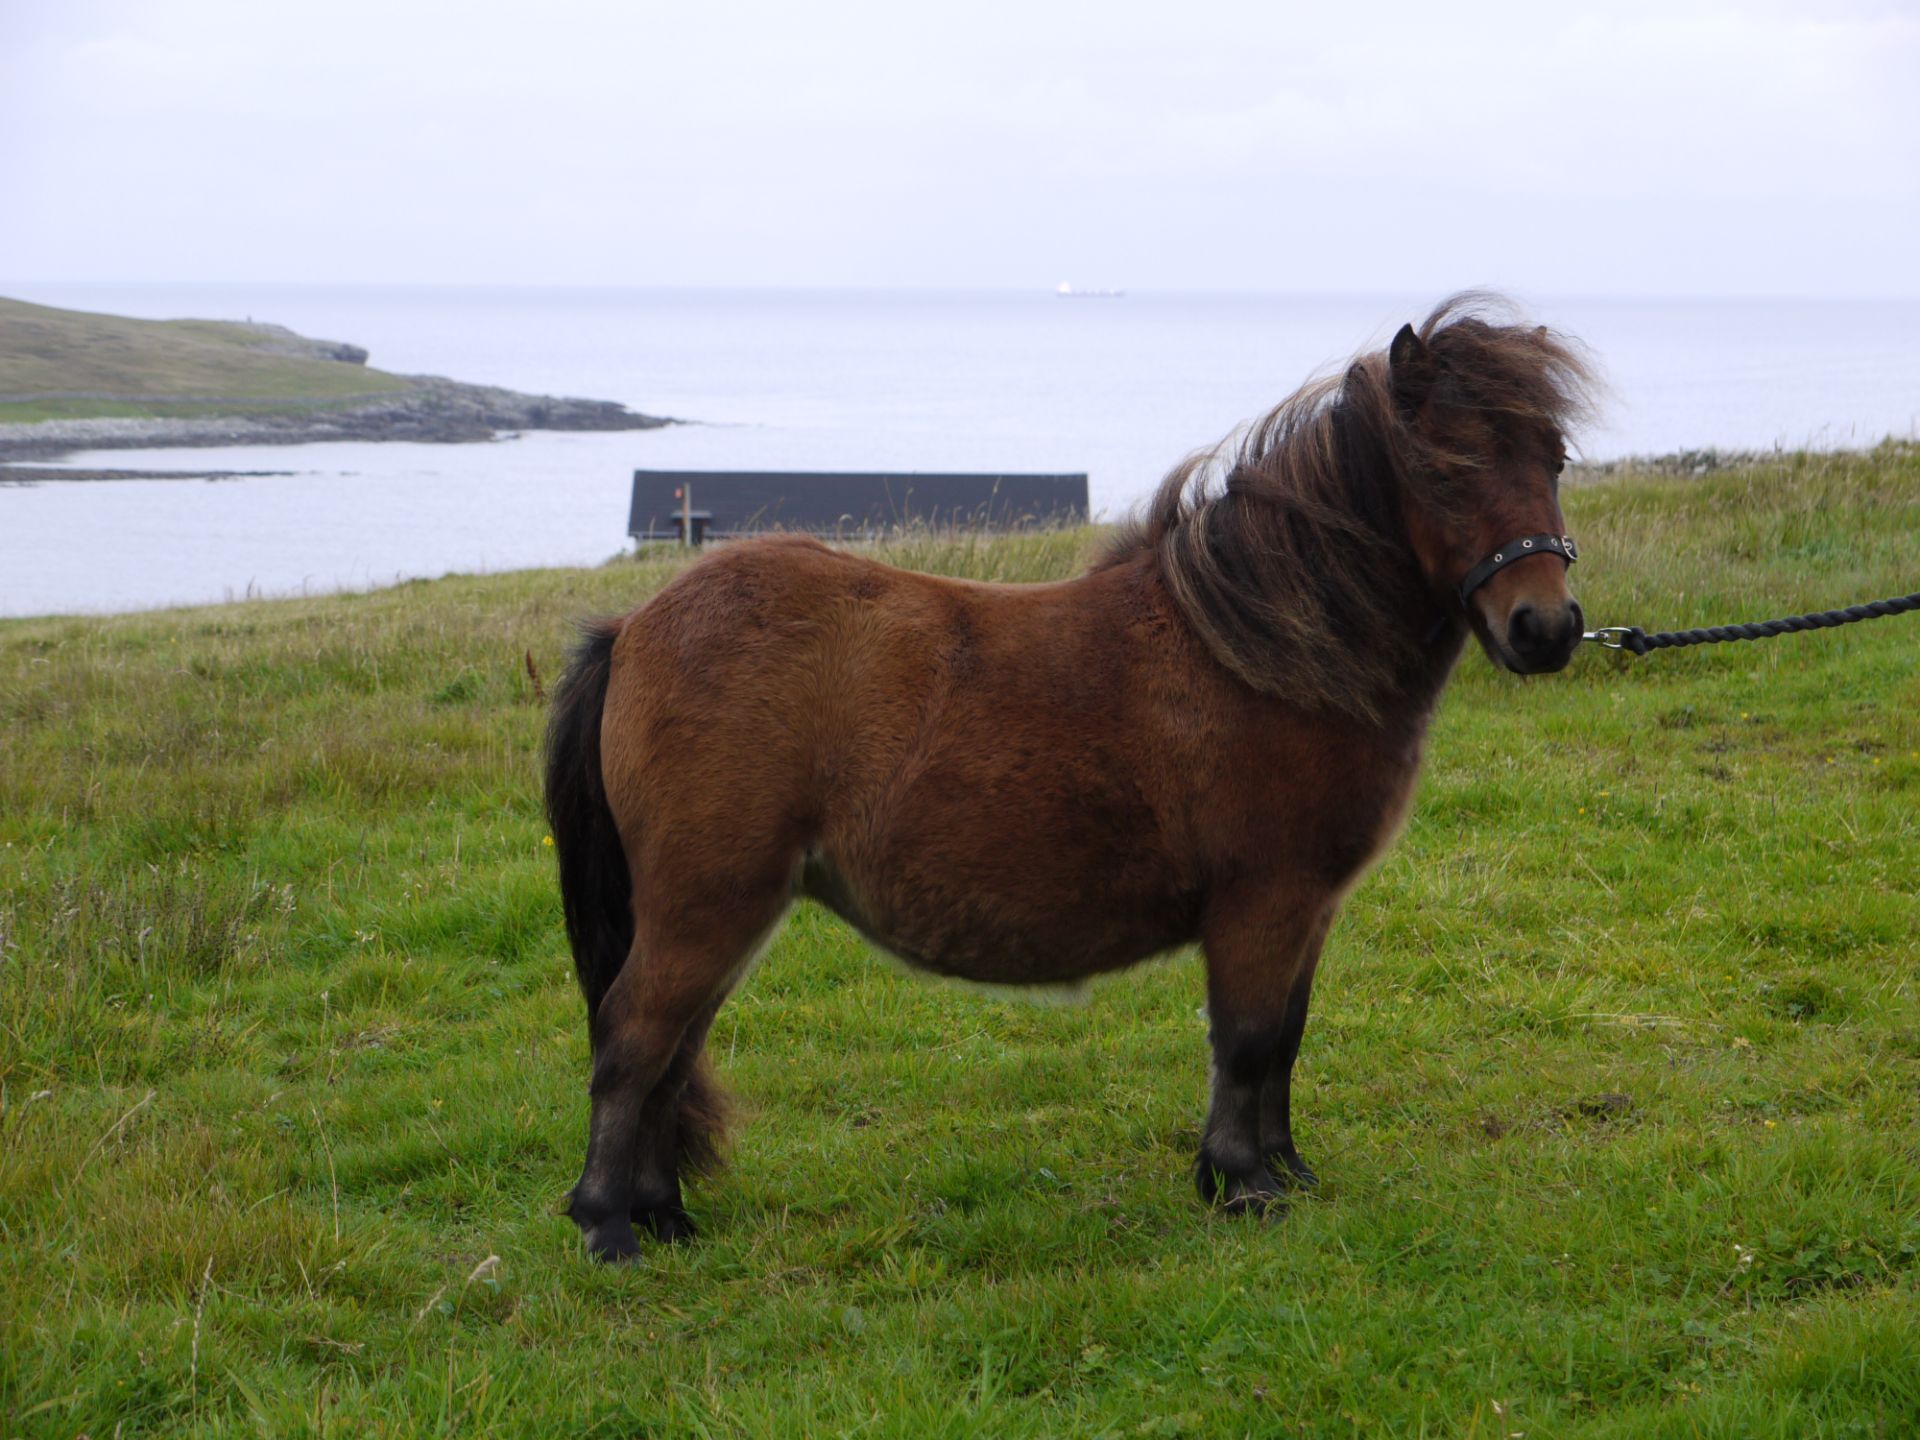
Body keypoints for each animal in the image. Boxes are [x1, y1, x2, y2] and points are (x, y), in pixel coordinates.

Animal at [549, 295, 1597, 1259]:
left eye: (1554, 459)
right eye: (1446, 469)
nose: (1545, 628)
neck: (1263, 651)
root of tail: (633, 628)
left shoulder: (1308, 910)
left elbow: (1286, 1039)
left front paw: (1284, 1171)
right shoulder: (1264, 903)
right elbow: (1249, 1041)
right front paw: (1243, 1185)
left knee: (672, 1049)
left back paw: (665, 1213)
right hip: (706, 905)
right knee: (634, 1039)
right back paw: (610, 1227)